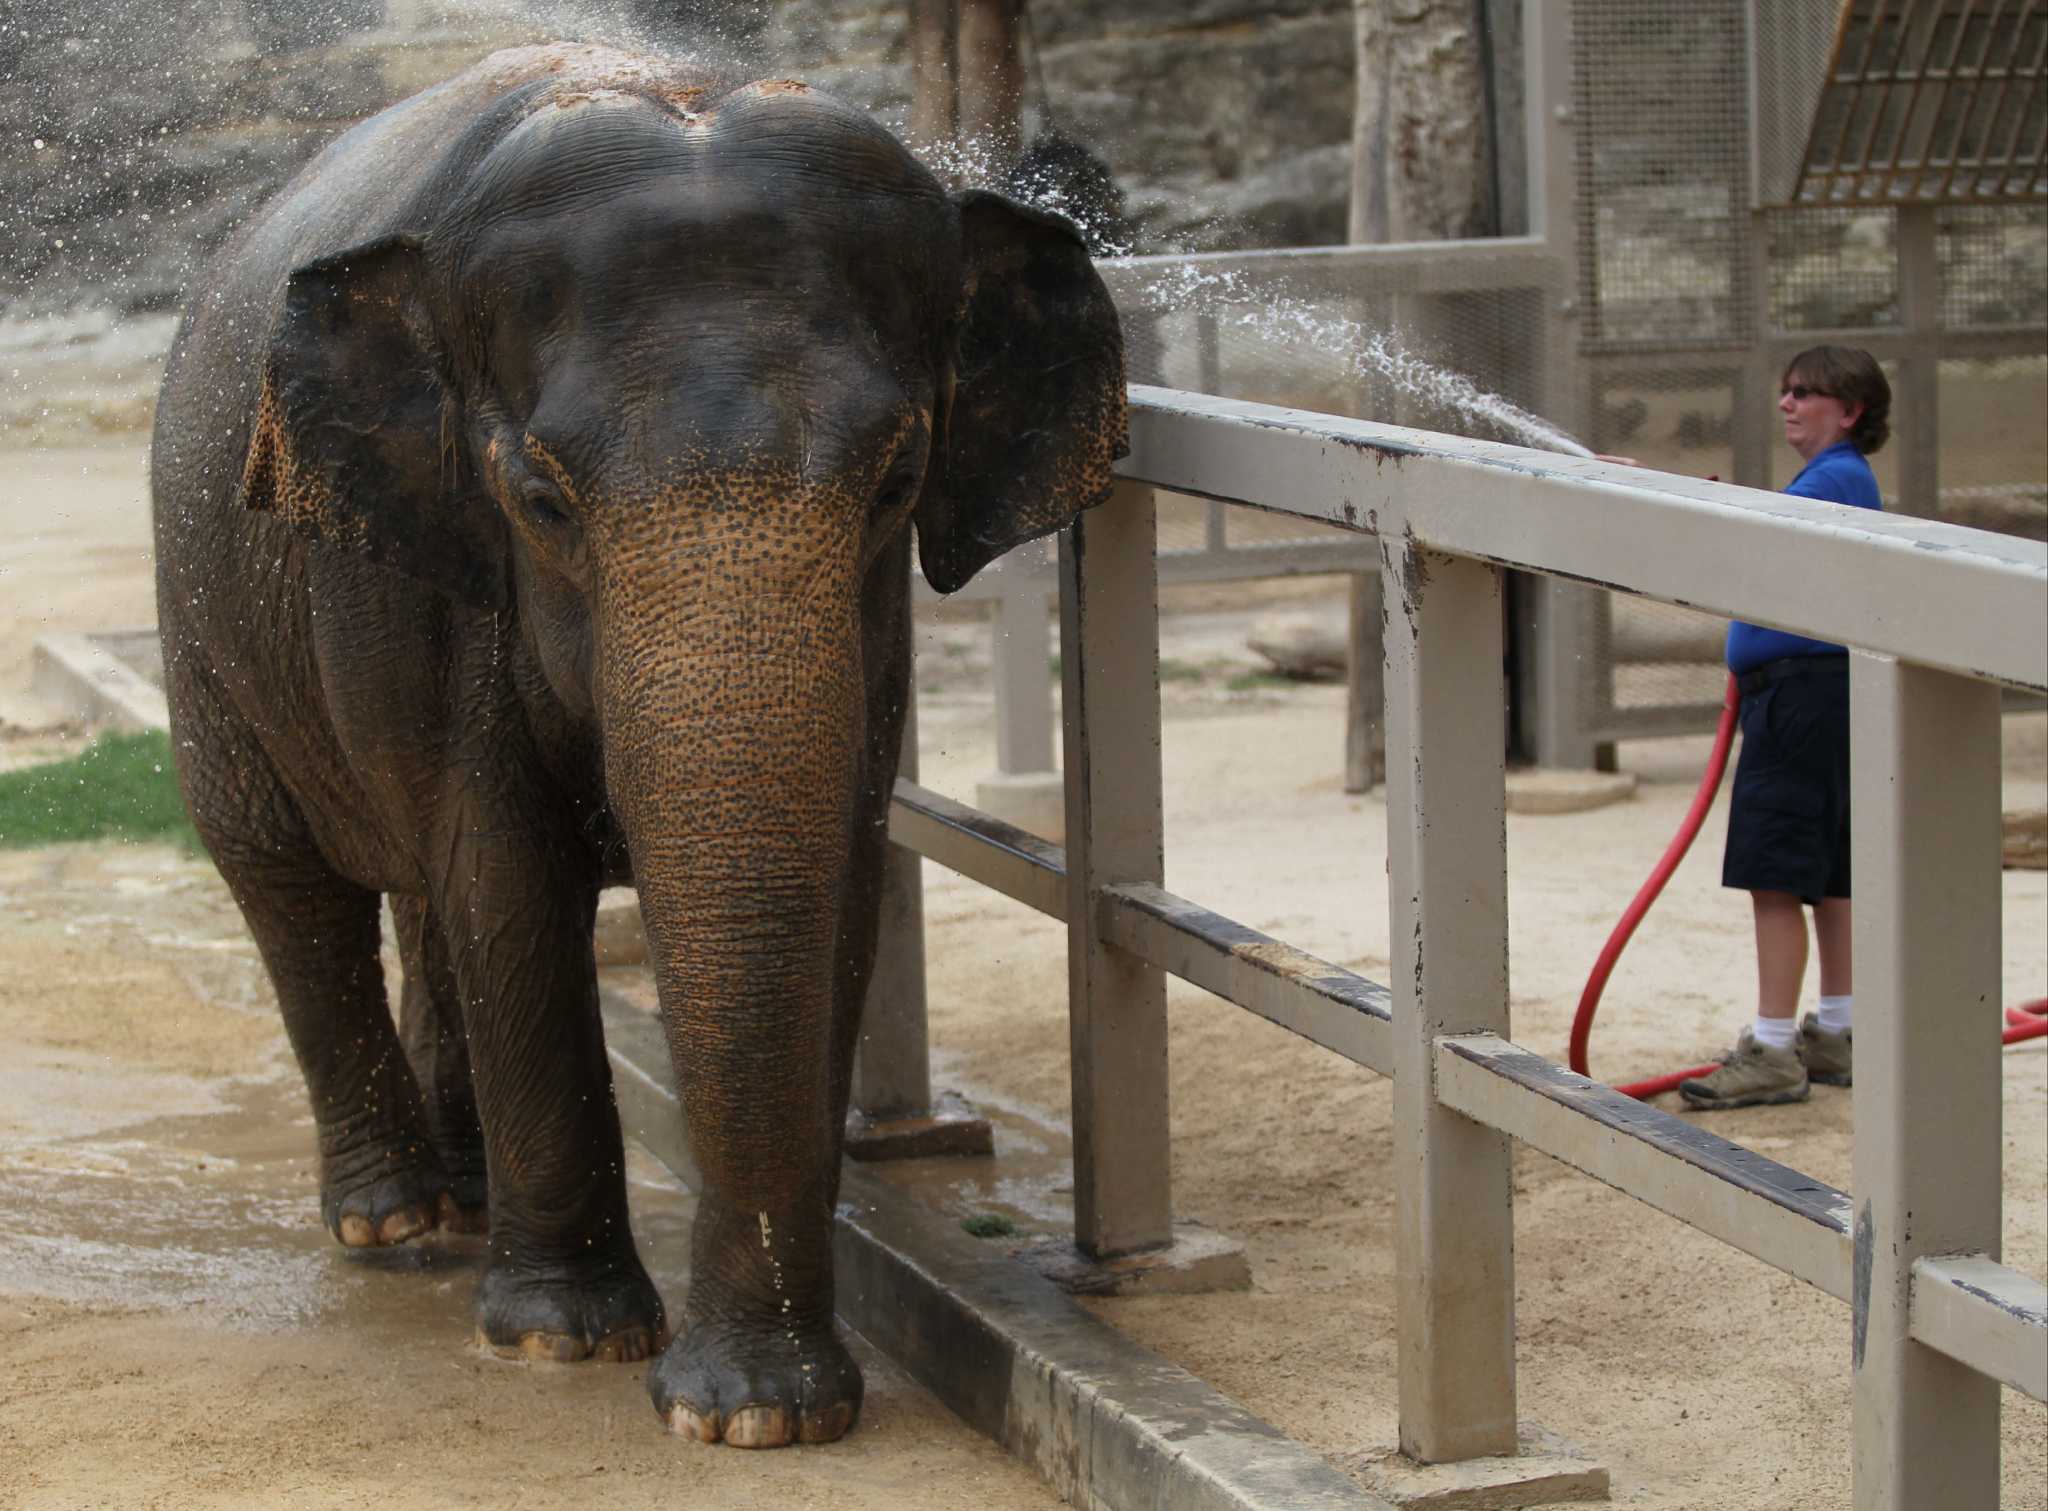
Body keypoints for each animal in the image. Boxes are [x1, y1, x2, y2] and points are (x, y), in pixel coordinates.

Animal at [150, 42, 1125, 1448]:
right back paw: (395, 1221)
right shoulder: (421, 583)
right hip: (207, 631)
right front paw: (566, 1339)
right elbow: (506, 882)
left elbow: (833, 884)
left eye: (896, 484)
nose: (731, 1399)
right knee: (291, 885)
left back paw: (462, 1193)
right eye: (540, 500)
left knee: (421, 909)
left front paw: (762, 1413)